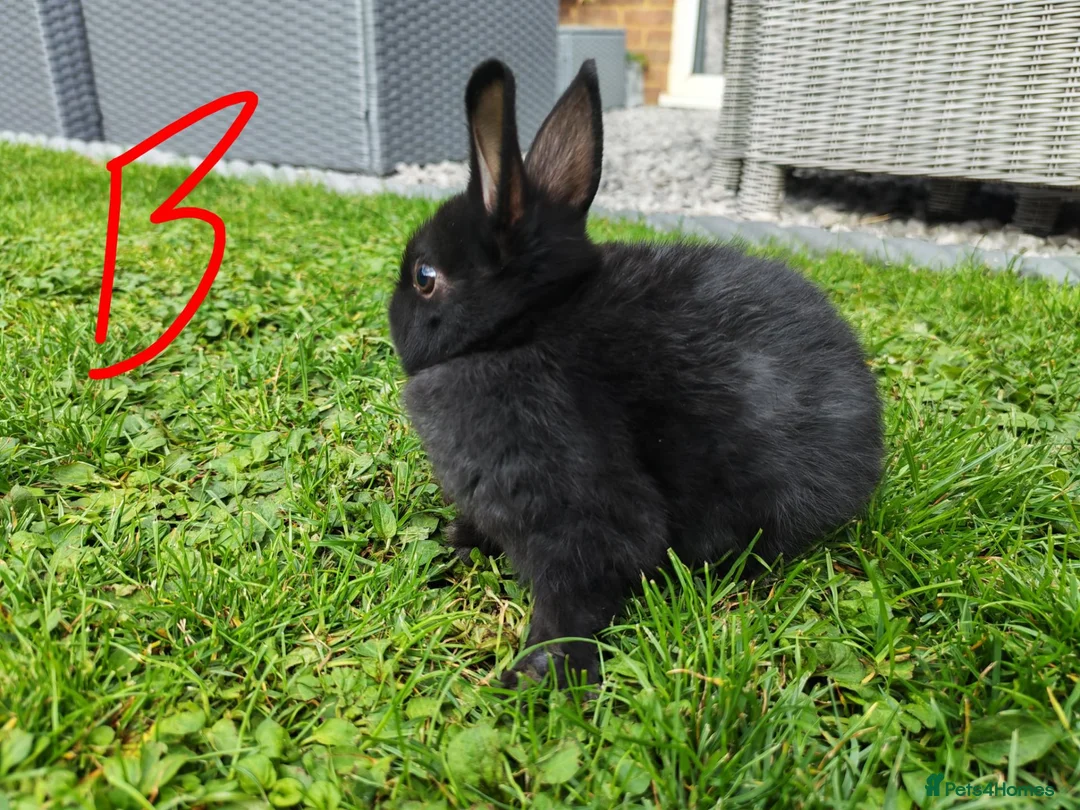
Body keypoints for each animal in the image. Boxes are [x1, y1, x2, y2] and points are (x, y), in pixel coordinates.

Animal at [388, 59, 884, 688]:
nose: (391, 311)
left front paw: (535, 674)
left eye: (424, 277)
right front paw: (461, 541)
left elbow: (579, 593)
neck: (524, 327)